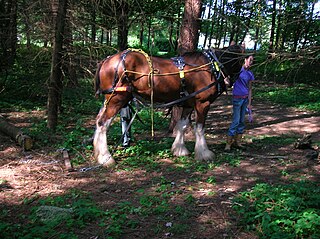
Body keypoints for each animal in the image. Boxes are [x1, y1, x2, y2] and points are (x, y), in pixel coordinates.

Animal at [92, 44, 245, 166]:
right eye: (243, 61)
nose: (232, 82)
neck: (211, 65)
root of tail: (107, 60)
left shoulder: (188, 103)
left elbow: (182, 126)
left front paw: (179, 149)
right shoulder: (203, 103)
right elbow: (200, 128)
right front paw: (204, 153)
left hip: (110, 99)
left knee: (99, 120)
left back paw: (99, 153)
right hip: (117, 98)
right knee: (103, 123)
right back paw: (106, 157)